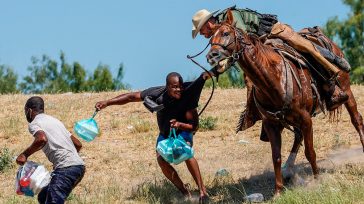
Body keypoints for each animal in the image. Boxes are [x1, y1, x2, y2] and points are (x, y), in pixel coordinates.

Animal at [206, 10, 364, 195]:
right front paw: (278, 191)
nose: (211, 56)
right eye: (210, 39)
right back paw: (288, 169)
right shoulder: (271, 124)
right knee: (298, 136)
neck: (273, 78)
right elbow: (276, 157)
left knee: (356, 119)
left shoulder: (306, 119)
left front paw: (317, 180)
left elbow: (310, 152)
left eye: (226, 33)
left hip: (346, 89)